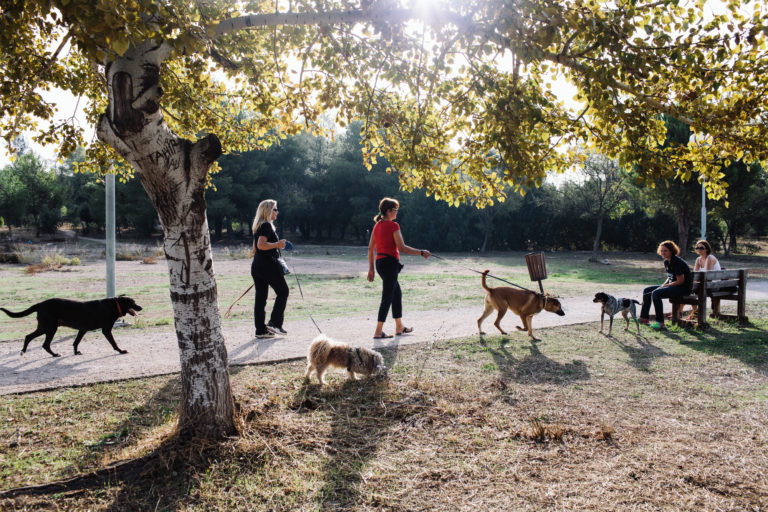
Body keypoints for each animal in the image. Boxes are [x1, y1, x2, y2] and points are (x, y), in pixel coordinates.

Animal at [0, 294, 142, 358]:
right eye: (133, 302)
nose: (141, 307)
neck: (114, 305)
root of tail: (40, 304)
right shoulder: (106, 330)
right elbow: (114, 342)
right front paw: (121, 351)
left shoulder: (82, 329)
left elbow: (76, 342)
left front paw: (75, 352)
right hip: (49, 328)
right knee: (38, 341)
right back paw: (50, 354)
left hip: (46, 327)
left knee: (32, 338)